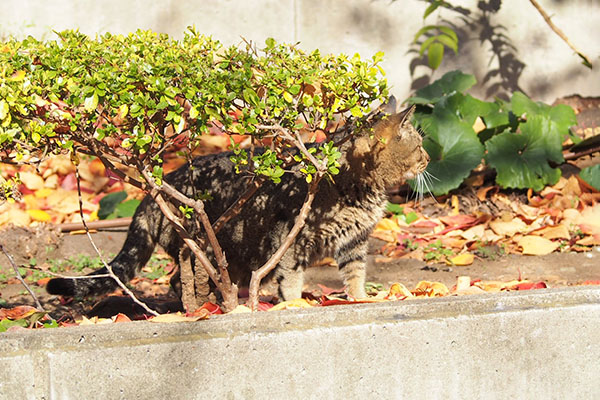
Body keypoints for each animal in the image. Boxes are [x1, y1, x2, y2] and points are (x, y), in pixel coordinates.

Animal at [48, 103, 432, 300]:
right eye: (418, 145)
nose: (429, 159)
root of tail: (153, 193)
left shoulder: (355, 240)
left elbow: (355, 274)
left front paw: (359, 299)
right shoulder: (289, 240)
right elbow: (291, 280)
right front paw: (293, 307)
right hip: (202, 249)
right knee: (184, 284)